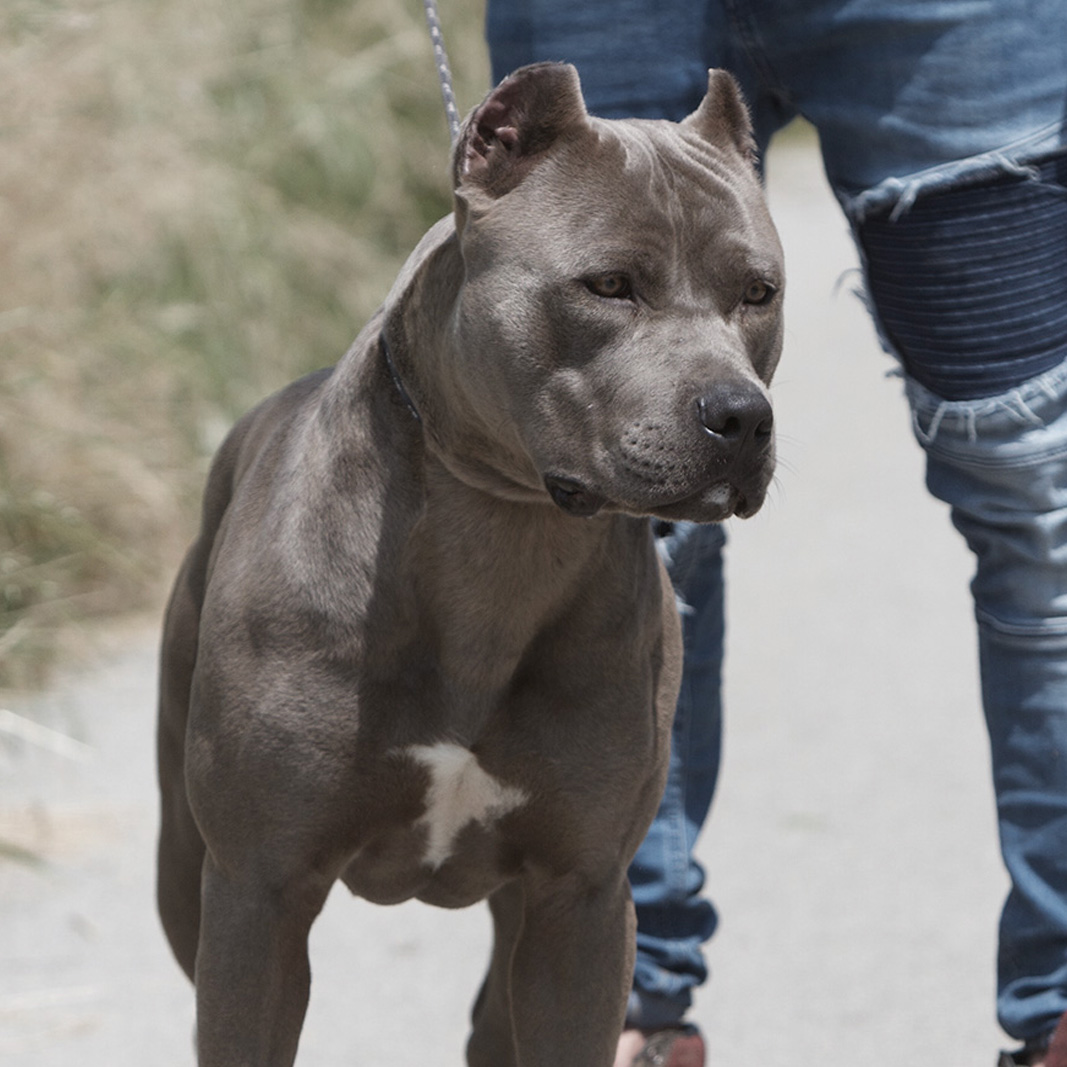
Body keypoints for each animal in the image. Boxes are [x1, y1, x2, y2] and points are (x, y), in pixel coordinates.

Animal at [154, 60, 781, 1067]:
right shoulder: (258, 892)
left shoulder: (580, 901)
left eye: (759, 292)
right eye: (609, 284)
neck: (503, 531)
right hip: (184, 868)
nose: (741, 414)